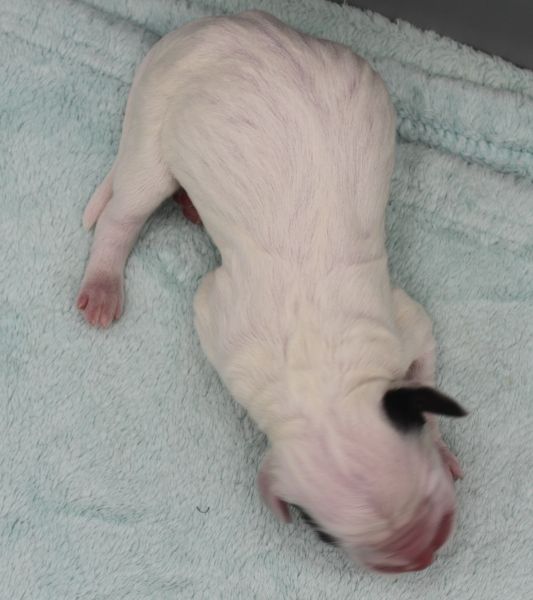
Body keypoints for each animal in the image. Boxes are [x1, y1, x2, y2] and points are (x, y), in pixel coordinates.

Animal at [76, 10, 466, 573]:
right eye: (324, 535)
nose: (421, 554)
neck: (320, 381)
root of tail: (205, 26)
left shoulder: (403, 324)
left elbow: (425, 364)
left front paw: (442, 444)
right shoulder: (216, 316)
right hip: (154, 120)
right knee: (124, 210)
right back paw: (103, 283)